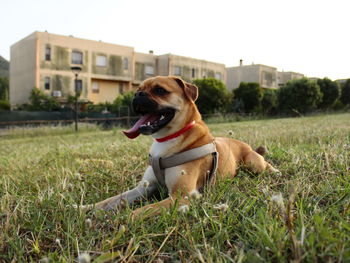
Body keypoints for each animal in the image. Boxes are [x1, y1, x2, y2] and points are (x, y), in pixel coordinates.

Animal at [80, 76, 280, 219]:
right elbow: (111, 200)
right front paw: (84, 208)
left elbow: (144, 210)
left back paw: (275, 171)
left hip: (253, 163)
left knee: (265, 164)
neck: (167, 139)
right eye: (138, 90)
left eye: (160, 90)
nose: (137, 95)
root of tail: (244, 144)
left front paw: (121, 219)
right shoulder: (143, 188)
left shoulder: (181, 197)